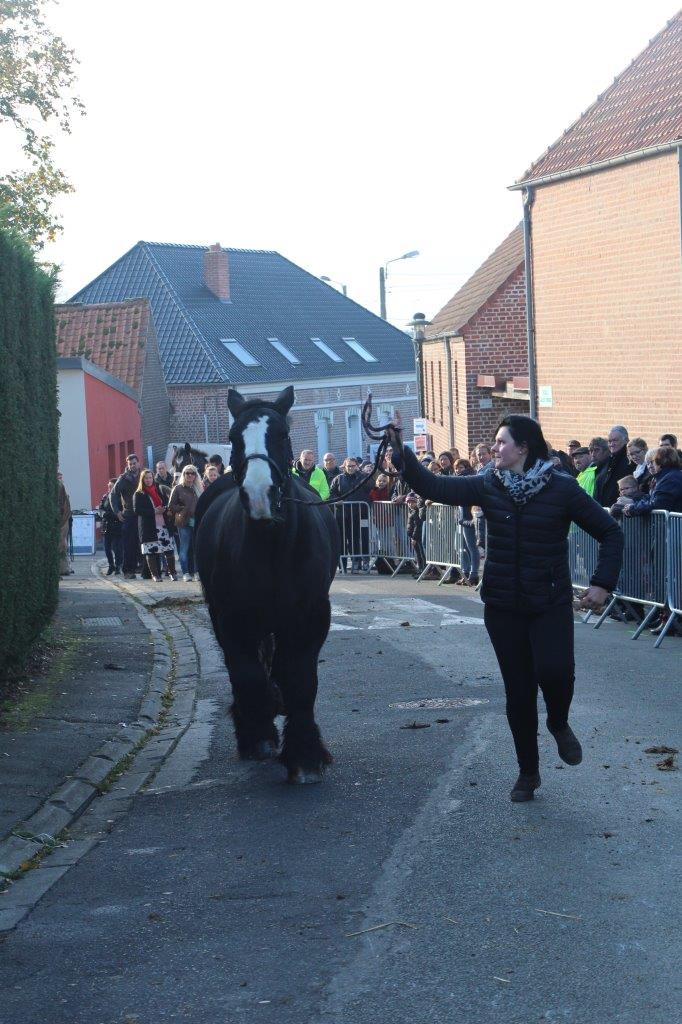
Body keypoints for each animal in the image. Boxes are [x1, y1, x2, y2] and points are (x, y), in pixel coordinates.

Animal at [192, 385, 337, 782]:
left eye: (283, 434)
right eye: (232, 437)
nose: (259, 494)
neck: (272, 543)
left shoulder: (311, 616)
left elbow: (300, 679)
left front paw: (304, 753)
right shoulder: (230, 618)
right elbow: (247, 676)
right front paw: (258, 733)